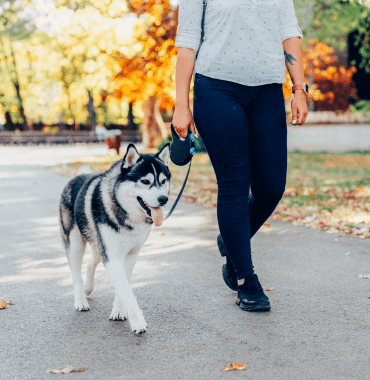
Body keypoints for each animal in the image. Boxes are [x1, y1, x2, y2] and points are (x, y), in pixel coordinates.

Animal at [59, 144, 172, 334]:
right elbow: (126, 290)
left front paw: (119, 311)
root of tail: (78, 176)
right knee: (75, 272)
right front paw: (138, 322)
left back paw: (88, 287)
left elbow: (123, 285)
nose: (163, 199)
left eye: (163, 181)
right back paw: (81, 300)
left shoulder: (130, 254)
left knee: (90, 263)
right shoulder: (112, 257)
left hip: (98, 245)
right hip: (75, 243)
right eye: (145, 181)